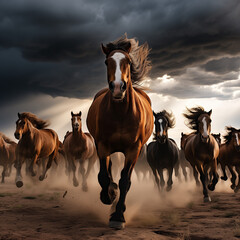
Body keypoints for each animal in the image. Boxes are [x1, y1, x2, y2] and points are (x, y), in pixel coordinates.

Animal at [86, 34, 154, 229]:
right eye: (106, 61)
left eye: (128, 61)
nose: (117, 87)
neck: (121, 113)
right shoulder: (102, 146)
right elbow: (103, 176)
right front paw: (108, 195)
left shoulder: (133, 150)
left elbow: (125, 181)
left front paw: (118, 216)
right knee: (108, 172)